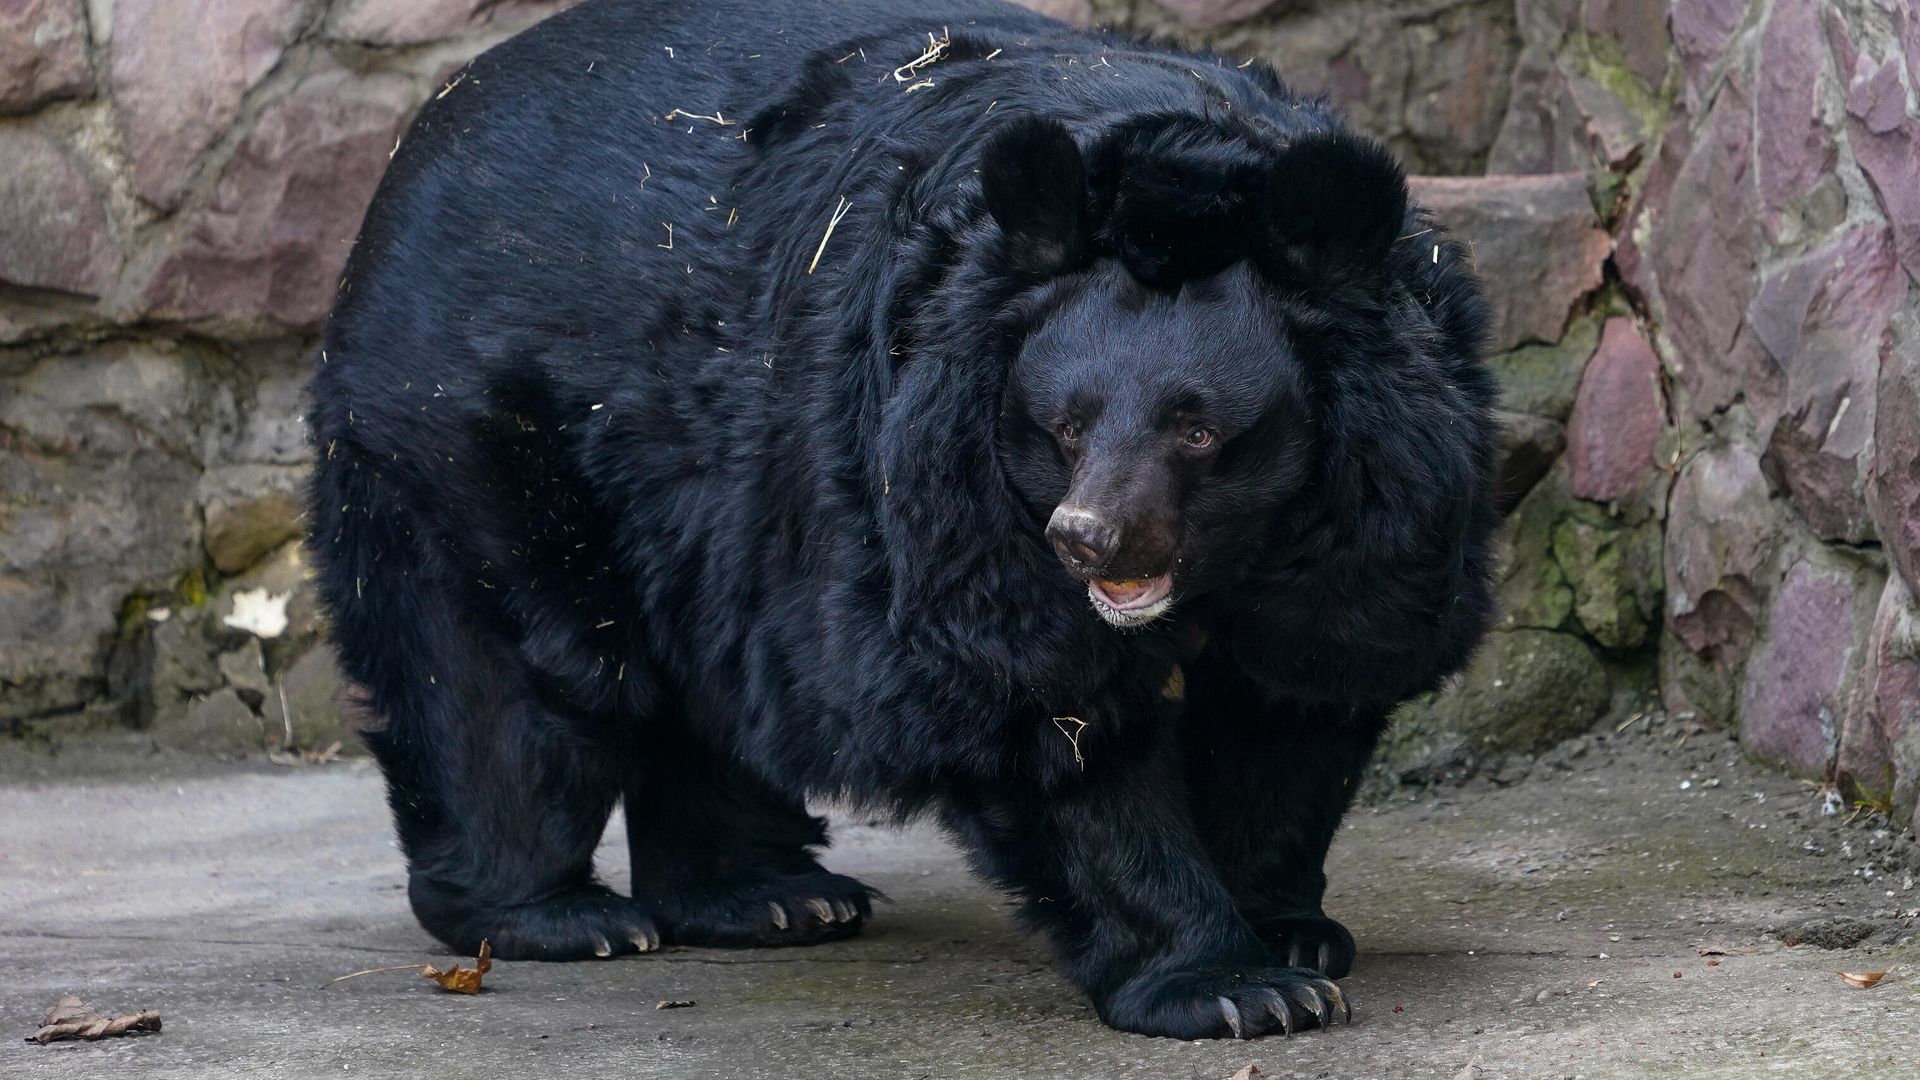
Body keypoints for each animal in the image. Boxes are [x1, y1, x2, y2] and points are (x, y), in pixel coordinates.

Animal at [306, 0, 1500, 1040]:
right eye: (1062, 424)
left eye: (1199, 431)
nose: (1089, 538)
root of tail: (431, 127)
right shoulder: (939, 469)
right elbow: (1043, 707)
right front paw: (1231, 987)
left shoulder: (1376, 512)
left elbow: (1297, 692)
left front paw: (1291, 934)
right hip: (477, 431)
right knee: (507, 675)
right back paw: (558, 915)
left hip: (705, 498)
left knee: (707, 674)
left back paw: (770, 897)